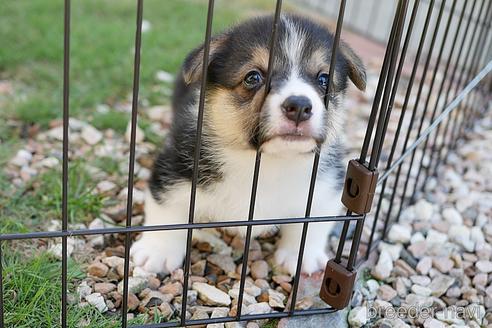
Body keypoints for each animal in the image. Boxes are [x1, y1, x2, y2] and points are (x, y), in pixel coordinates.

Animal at [131, 15, 366, 276]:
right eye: (253, 77)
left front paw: (302, 256)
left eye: (323, 79)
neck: (266, 162)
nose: (299, 106)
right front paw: (157, 251)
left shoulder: (326, 185)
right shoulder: (172, 169)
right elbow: (166, 211)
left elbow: (313, 224)